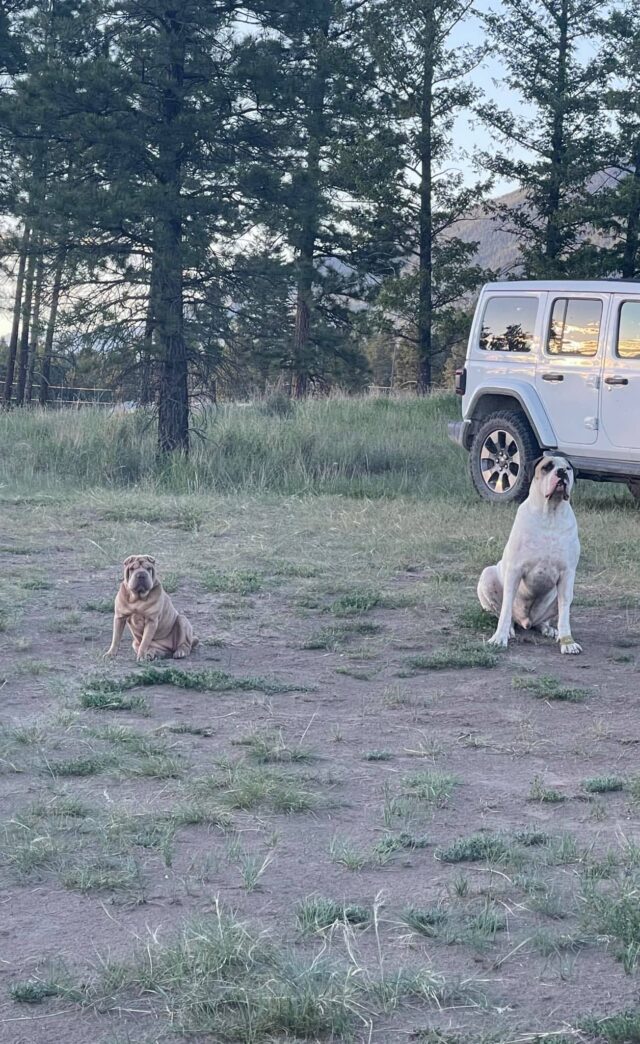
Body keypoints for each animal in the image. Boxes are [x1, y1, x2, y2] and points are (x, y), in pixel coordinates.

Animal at [480, 455, 580, 651]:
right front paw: (499, 637)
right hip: (487, 575)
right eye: (547, 467)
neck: (550, 514)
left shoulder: (567, 575)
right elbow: (506, 608)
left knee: (543, 620)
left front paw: (568, 641)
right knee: (504, 612)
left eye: (568, 468)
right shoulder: (515, 570)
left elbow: (564, 611)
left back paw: (549, 629)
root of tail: (526, 621)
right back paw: (510, 629)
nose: (561, 472)